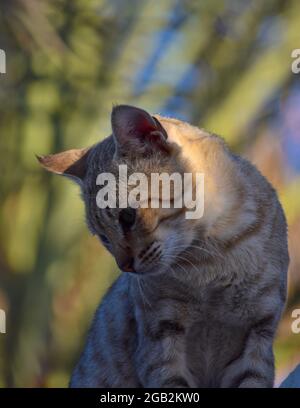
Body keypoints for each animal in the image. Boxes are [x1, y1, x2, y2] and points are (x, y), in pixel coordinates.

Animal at [37, 103, 288, 388]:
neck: (213, 260)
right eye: (102, 236)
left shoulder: (257, 336)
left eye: (127, 217)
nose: (125, 267)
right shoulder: (160, 341)